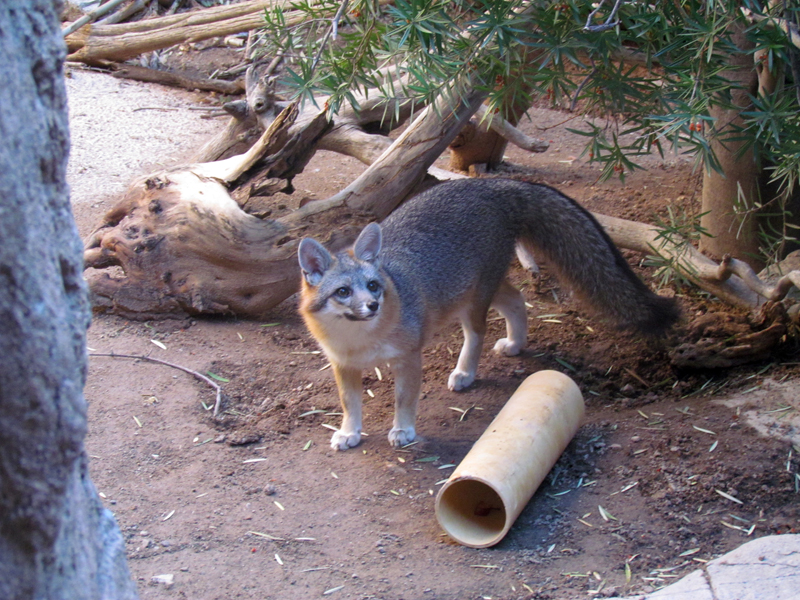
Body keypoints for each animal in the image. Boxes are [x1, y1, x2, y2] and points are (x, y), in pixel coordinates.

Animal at [297, 178, 679, 451]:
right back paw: (515, 343)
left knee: (477, 333)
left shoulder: (408, 358)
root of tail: (495, 183)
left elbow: (404, 399)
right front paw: (349, 432)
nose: (373, 306)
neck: (362, 342)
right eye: (343, 292)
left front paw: (403, 429)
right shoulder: (342, 365)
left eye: (373, 286)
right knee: (517, 298)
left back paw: (466, 372)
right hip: (484, 290)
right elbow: (349, 404)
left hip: (474, 301)